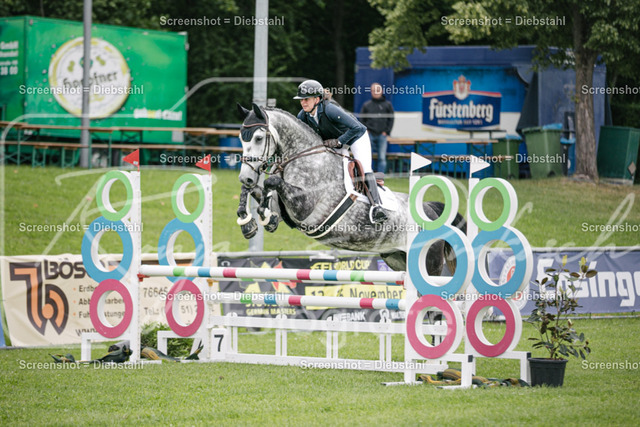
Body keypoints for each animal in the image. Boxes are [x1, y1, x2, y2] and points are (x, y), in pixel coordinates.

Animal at [235, 103, 465, 274]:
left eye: (258, 138)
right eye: (240, 138)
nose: (246, 176)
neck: (306, 158)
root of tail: (431, 211)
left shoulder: (306, 206)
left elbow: (271, 182)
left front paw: (263, 215)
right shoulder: (288, 211)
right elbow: (257, 190)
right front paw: (252, 222)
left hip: (429, 263)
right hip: (397, 258)